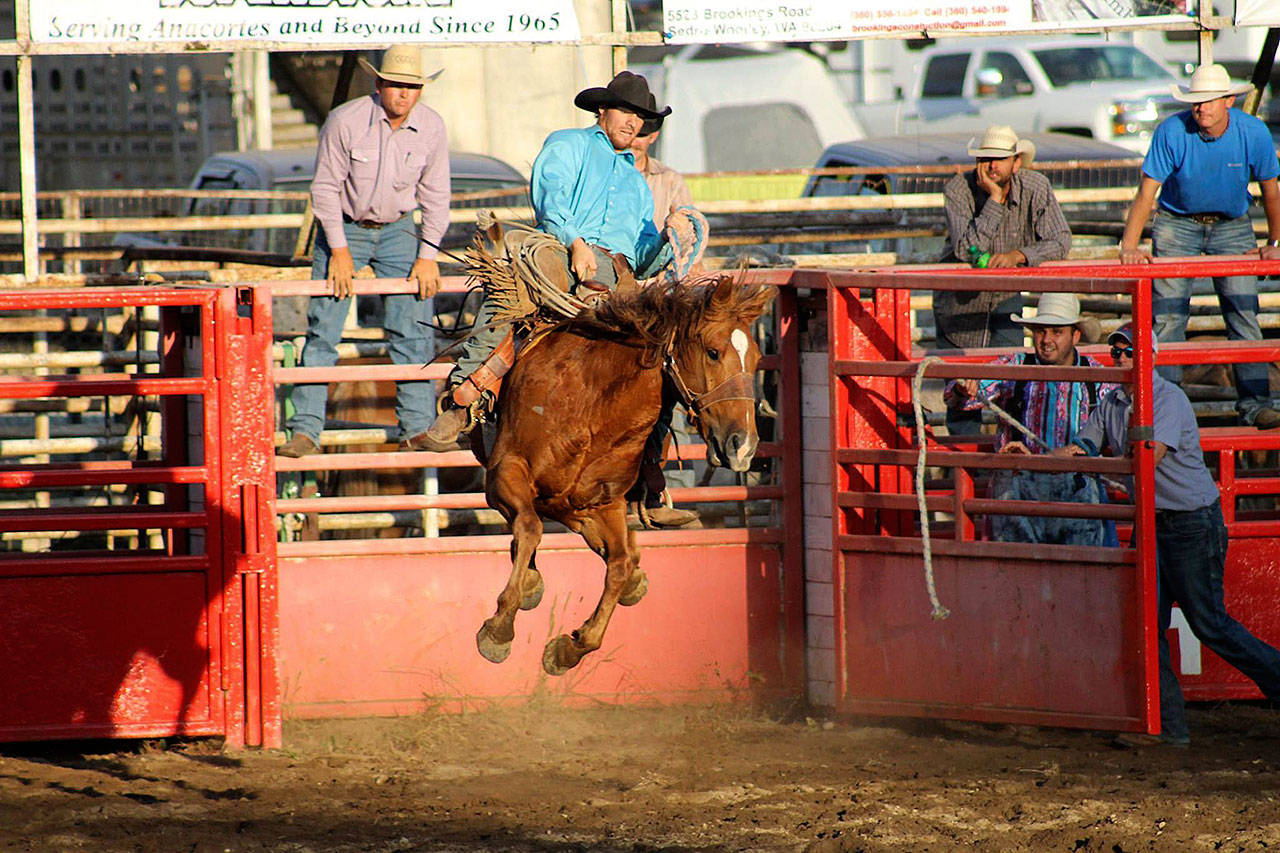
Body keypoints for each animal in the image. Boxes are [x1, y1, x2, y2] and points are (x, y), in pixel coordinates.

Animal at [476, 275, 773, 676]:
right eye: (713, 352)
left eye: (756, 359)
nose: (743, 444)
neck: (593, 406)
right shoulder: (505, 472)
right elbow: (528, 527)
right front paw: (498, 630)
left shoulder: (600, 504)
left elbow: (618, 564)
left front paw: (568, 648)